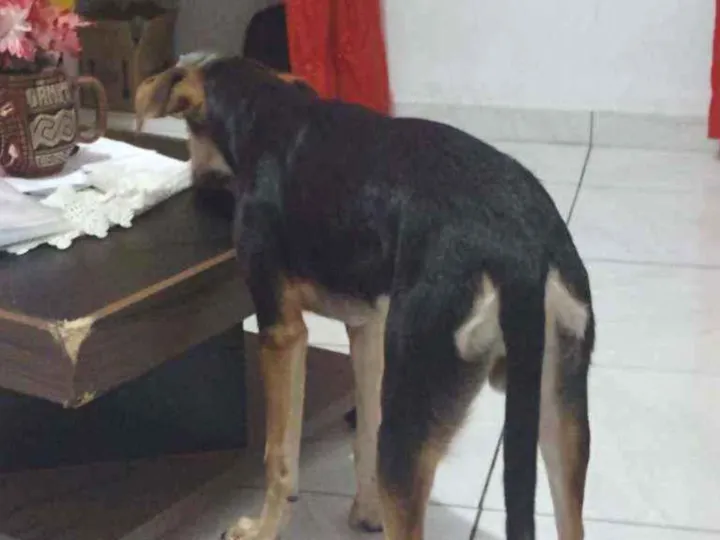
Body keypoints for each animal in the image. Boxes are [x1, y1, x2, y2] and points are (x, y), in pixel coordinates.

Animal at [135, 56, 595, 540]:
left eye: (190, 135)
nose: (196, 186)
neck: (266, 109)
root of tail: (521, 252)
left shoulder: (281, 332)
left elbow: (279, 454)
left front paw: (262, 529)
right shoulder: (367, 327)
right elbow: (363, 432)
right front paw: (366, 512)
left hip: (411, 422)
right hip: (561, 415)